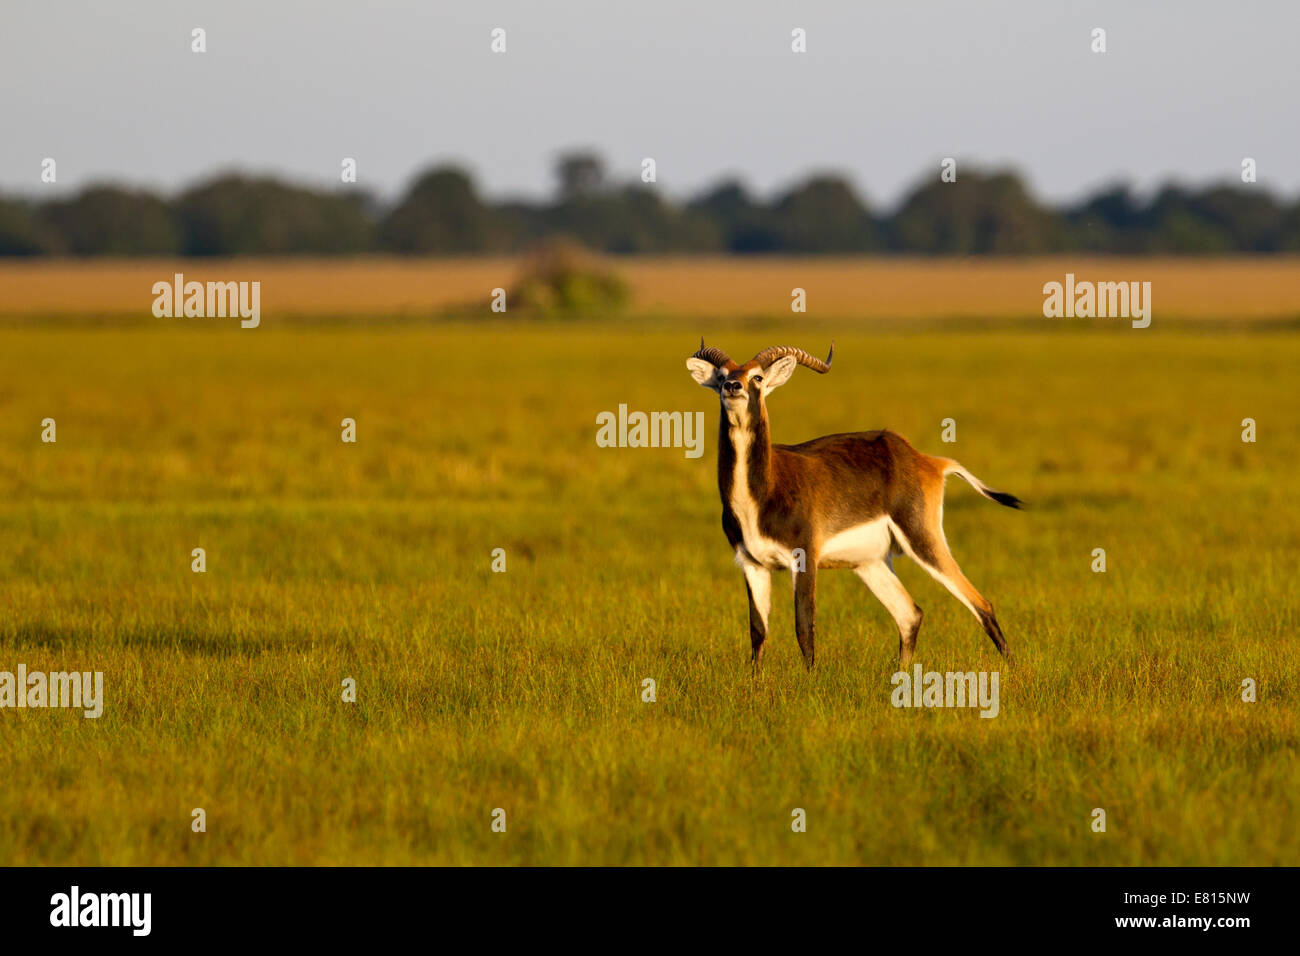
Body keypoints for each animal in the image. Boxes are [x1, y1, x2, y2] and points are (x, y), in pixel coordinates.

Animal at [686, 340, 1019, 671]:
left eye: (757, 377)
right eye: (721, 376)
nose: (733, 386)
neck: (764, 491)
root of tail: (925, 459)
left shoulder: (804, 557)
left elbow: (804, 625)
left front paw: (810, 679)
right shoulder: (752, 563)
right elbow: (758, 630)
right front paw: (756, 680)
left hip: (921, 539)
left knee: (981, 604)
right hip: (870, 562)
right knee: (910, 615)